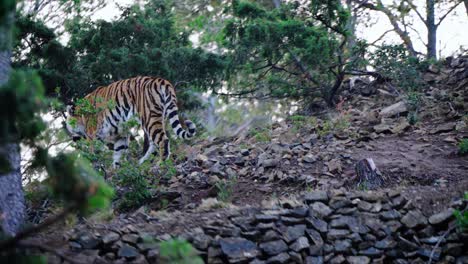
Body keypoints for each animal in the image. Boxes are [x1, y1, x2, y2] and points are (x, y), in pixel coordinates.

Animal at [64, 76, 196, 167]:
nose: (73, 138)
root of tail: (161, 80)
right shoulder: (120, 135)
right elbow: (118, 153)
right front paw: (117, 170)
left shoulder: (92, 136)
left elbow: (93, 154)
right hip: (157, 119)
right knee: (154, 143)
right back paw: (142, 162)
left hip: (149, 118)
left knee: (163, 140)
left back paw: (160, 163)